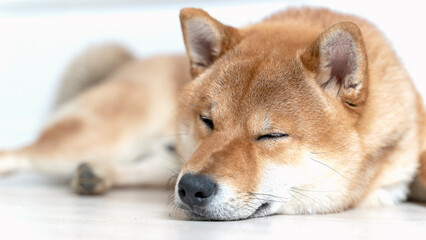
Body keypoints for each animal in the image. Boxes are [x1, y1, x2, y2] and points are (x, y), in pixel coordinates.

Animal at [0, 7, 426, 221]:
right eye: (208, 122)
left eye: (270, 135)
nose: (191, 188)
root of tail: (134, 61)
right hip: (100, 137)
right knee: (20, 154)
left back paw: (98, 174)